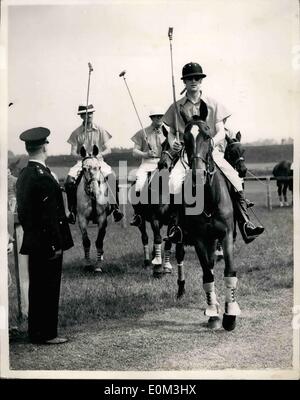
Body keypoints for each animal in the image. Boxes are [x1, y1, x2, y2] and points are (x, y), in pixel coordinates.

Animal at [77, 145, 112, 274]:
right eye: (84, 168)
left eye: (99, 167)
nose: (94, 190)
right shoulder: (82, 219)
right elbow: (86, 241)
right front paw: (87, 264)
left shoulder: (102, 218)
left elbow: (99, 241)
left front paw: (98, 265)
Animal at [175, 115, 240, 332]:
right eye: (185, 138)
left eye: (207, 135)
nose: (198, 174)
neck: (209, 199)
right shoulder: (199, 239)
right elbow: (207, 275)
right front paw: (213, 314)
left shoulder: (226, 235)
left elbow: (229, 271)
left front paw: (230, 315)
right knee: (208, 266)